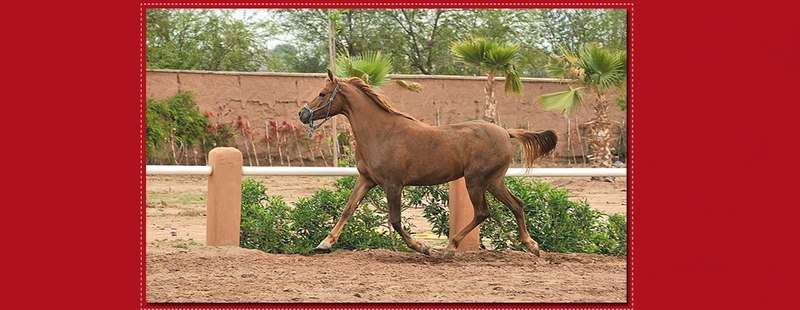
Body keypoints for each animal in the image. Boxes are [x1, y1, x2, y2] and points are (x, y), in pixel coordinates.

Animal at [300, 70, 556, 256]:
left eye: (322, 93)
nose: (302, 115)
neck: (381, 133)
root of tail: (505, 132)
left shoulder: (393, 184)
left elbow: (395, 220)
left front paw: (423, 248)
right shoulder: (367, 180)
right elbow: (348, 209)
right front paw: (324, 243)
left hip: (477, 180)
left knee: (484, 212)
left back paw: (449, 247)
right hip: (492, 182)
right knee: (516, 205)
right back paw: (532, 246)